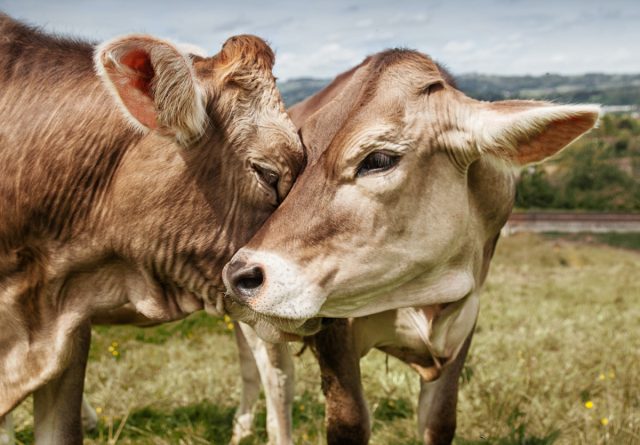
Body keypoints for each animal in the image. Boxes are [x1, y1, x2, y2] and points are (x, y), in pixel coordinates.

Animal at [222, 50, 596, 442]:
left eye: (378, 160)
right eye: (295, 163)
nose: (241, 274)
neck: (422, 293)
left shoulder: (464, 322)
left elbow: (439, 420)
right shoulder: (333, 333)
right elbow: (349, 421)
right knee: (277, 382)